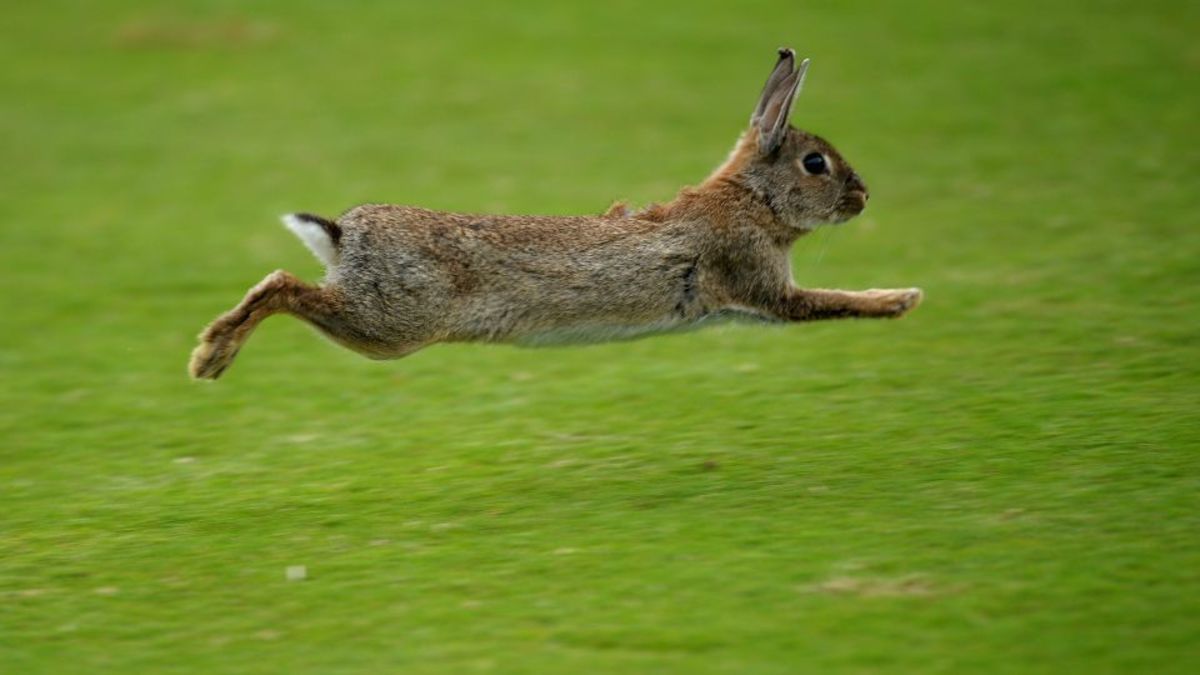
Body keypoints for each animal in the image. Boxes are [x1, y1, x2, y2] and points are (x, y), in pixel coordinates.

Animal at [189, 48, 921, 380]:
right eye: (816, 164)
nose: (863, 198)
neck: (752, 199)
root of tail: (345, 237)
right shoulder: (761, 284)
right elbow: (830, 302)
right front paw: (902, 299)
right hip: (391, 324)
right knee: (286, 287)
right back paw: (211, 357)